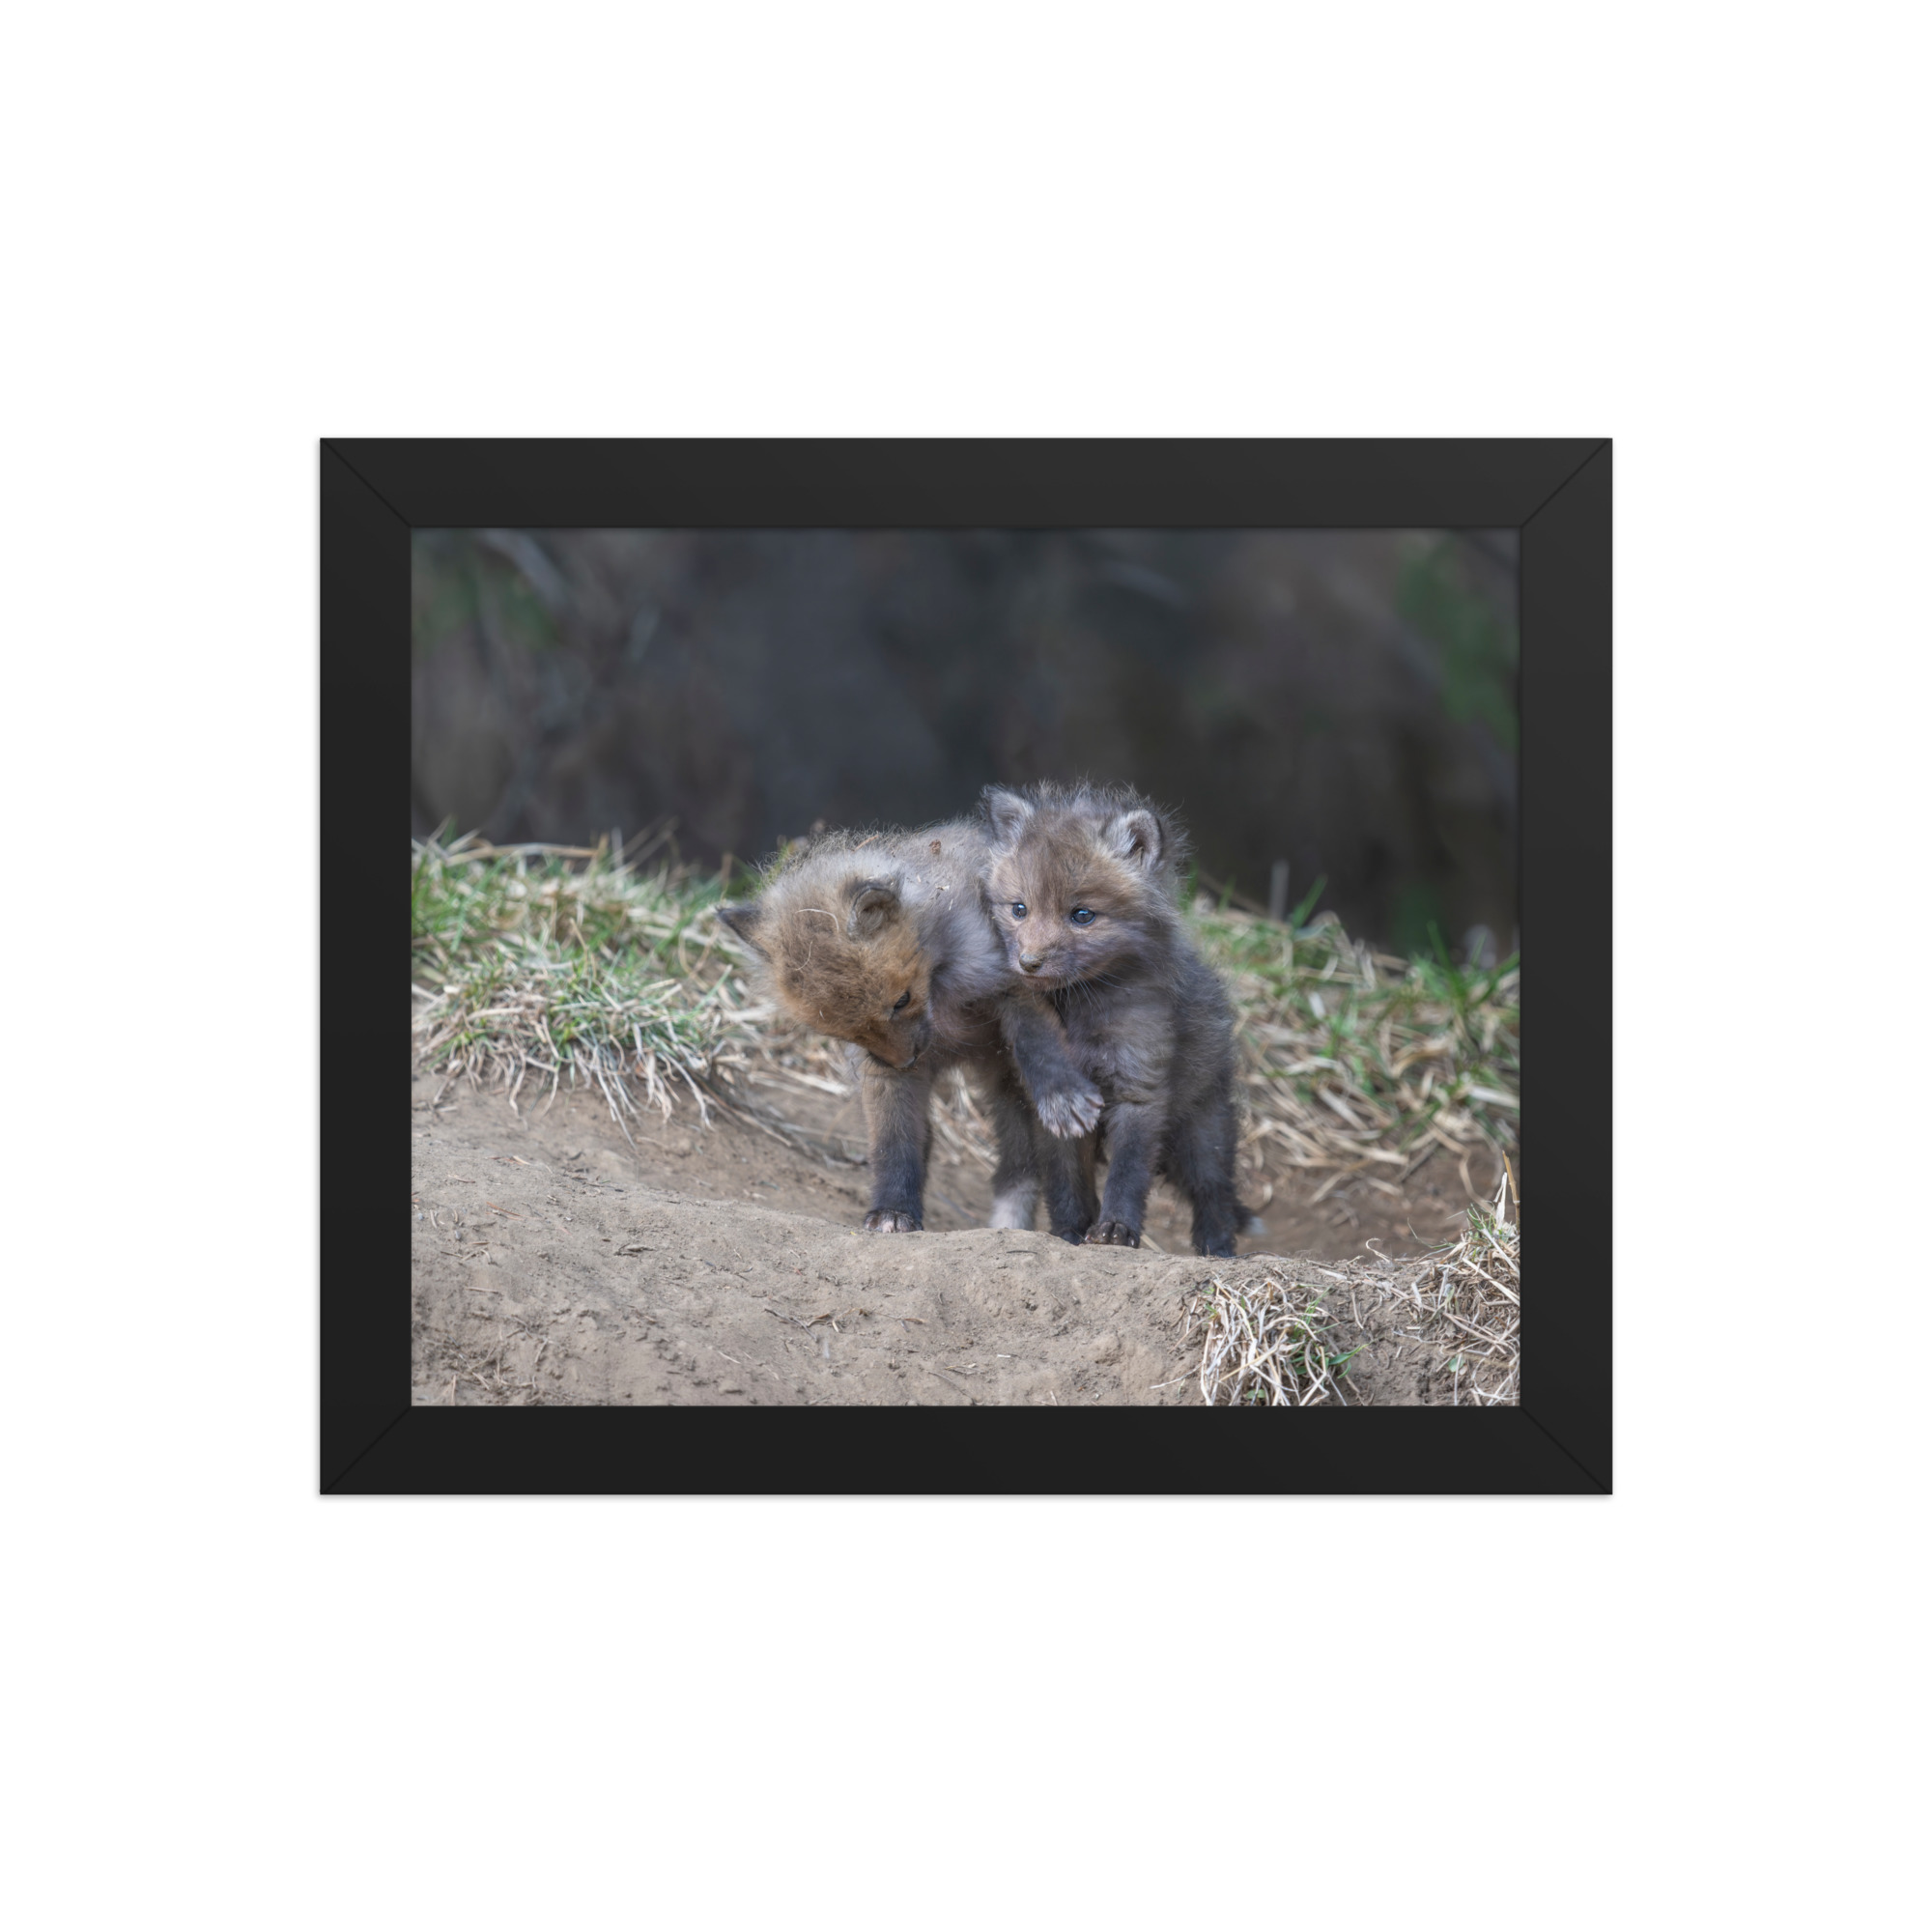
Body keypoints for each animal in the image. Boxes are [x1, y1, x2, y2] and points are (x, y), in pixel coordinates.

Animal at [715, 821, 1105, 1238]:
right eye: (845, 1032)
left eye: (901, 1001)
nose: (906, 1061)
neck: (942, 993)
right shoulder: (880, 1070)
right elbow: (894, 1143)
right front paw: (893, 1210)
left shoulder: (1014, 982)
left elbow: (1038, 1044)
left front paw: (1061, 1095)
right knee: (1015, 1167)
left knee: (1056, 1168)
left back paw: (1072, 1230)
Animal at [979, 781, 1246, 1257]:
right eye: (1019, 909)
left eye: (1082, 915)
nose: (1028, 963)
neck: (1081, 1012)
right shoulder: (1056, 1107)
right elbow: (1066, 1181)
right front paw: (1069, 1232)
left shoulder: (1139, 1087)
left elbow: (1128, 1173)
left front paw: (1116, 1230)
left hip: (1202, 1131)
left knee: (1215, 1191)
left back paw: (1218, 1250)